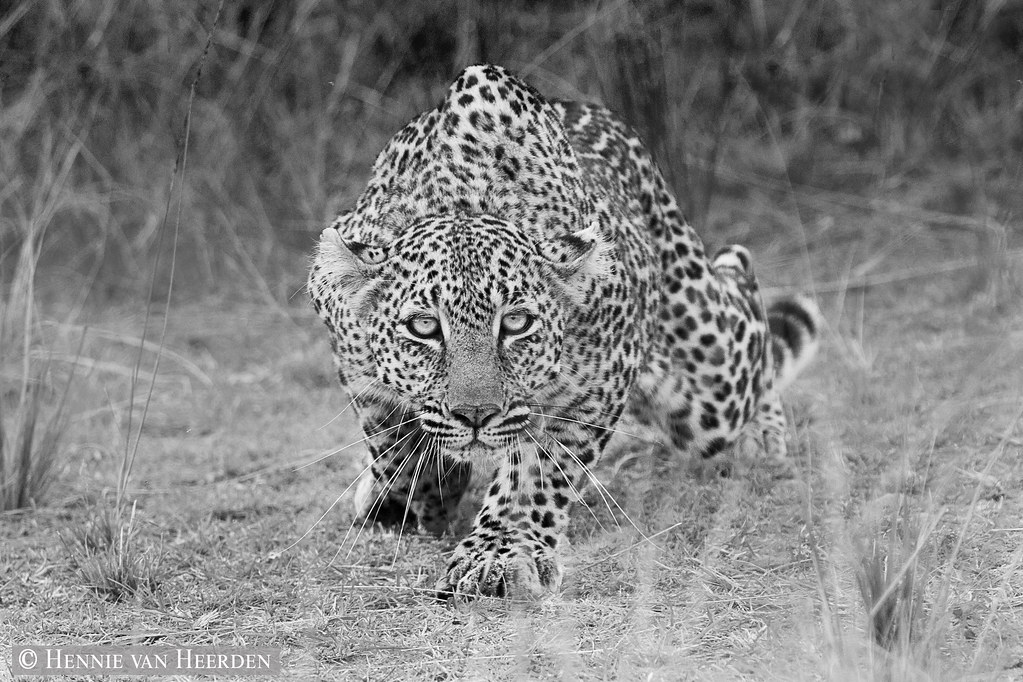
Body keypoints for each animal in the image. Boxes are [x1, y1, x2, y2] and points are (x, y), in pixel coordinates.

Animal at [308, 64, 820, 599]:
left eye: (516, 323)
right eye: (424, 327)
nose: (476, 415)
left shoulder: (596, 381)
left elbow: (536, 473)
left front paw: (498, 550)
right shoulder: (346, 343)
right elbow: (393, 440)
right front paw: (413, 494)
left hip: (710, 379)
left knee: (742, 294)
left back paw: (765, 439)